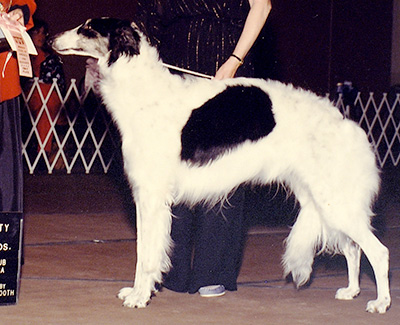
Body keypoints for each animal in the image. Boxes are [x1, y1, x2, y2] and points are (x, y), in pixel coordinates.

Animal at [52, 17, 390, 312]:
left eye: (88, 28)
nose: (53, 40)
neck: (143, 90)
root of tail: (347, 124)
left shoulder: (152, 196)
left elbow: (146, 255)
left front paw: (139, 297)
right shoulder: (144, 196)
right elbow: (142, 250)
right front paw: (137, 291)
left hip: (334, 201)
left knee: (379, 251)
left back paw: (381, 302)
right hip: (324, 200)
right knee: (353, 248)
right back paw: (351, 290)